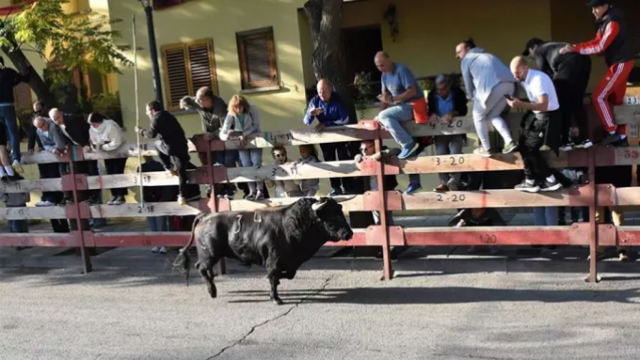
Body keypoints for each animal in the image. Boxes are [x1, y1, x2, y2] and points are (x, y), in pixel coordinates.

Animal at [174, 197, 356, 304]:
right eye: (333, 215)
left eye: (340, 212)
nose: (349, 233)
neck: (294, 224)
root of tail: (205, 216)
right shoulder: (274, 260)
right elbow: (273, 276)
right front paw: (276, 298)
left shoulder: (290, 262)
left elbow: (288, 275)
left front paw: (277, 286)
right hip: (210, 254)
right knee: (201, 267)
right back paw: (212, 291)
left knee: (204, 269)